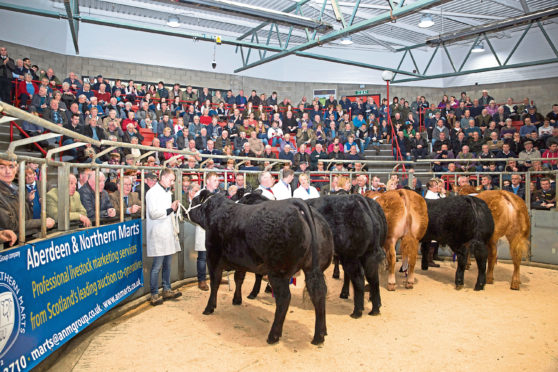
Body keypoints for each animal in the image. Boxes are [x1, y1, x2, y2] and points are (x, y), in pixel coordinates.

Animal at [188, 190, 336, 344]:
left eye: (194, 200)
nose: (185, 211)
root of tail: (296, 203)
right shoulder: (241, 261)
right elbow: (238, 279)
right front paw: (237, 300)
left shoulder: (213, 257)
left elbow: (215, 283)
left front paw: (209, 308)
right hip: (313, 269)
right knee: (318, 293)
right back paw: (320, 334)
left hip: (278, 273)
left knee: (284, 299)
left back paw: (273, 335)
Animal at [241, 193, 390, 318]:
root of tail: (357, 199)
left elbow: (258, 274)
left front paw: (253, 293)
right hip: (367, 255)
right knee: (373, 278)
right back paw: (375, 308)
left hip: (350, 256)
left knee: (359, 278)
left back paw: (357, 311)